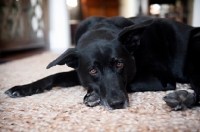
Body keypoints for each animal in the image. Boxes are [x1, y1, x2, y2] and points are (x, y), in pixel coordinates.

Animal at [4, 16, 200, 109]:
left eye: (120, 64)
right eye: (93, 71)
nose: (117, 104)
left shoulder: (161, 79)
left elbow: (130, 83)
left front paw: (93, 95)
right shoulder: (80, 73)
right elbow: (54, 76)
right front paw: (23, 88)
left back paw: (182, 98)